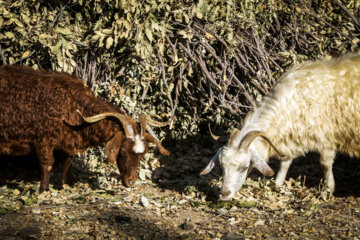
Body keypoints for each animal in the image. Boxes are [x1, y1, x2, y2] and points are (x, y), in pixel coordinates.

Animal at [0, 64, 170, 192]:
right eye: (122, 152)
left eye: (142, 155)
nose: (131, 183)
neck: (70, 105)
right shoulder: (43, 140)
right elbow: (47, 164)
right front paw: (44, 190)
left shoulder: (67, 139)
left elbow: (68, 161)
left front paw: (66, 184)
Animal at [201, 52, 360, 201]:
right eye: (222, 167)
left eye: (244, 167)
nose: (224, 194)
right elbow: (285, 163)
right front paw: (277, 184)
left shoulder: (326, 137)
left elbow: (325, 164)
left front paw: (329, 189)